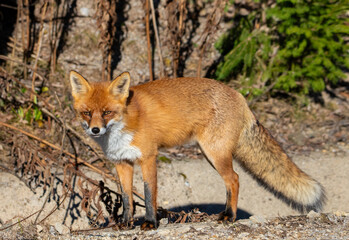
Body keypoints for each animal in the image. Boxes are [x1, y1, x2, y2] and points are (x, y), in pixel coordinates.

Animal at [69, 70, 324, 230]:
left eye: (107, 112)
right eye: (87, 113)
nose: (95, 130)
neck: (125, 122)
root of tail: (239, 95)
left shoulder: (149, 158)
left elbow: (149, 194)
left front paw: (151, 223)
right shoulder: (122, 163)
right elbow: (126, 197)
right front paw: (125, 223)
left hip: (215, 153)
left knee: (234, 179)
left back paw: (229, 216)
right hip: (209, 153)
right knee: (234, 179)